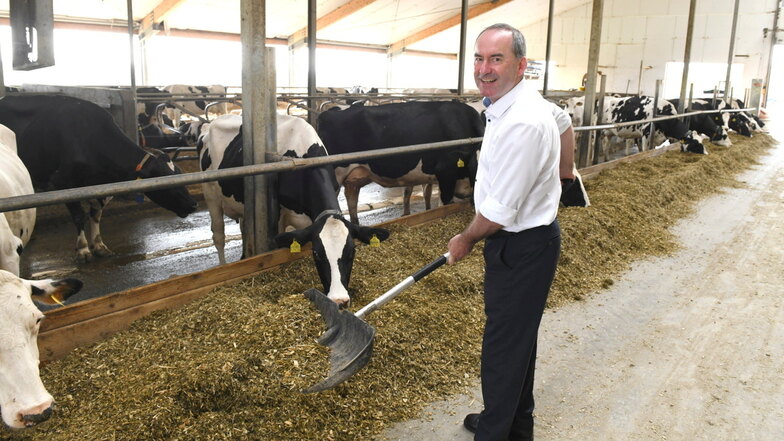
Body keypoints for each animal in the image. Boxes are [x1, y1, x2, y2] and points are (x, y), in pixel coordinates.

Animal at [0, 95, 198, 262]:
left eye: (179, 174)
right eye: (166, 183)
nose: (193, 204)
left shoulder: (101, 186)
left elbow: (96, 215)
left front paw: (99, 246)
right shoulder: (63, 183)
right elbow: (80, 216)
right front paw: (83, 249)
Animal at [198, 113, 390, 306]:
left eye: (352, 251)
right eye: (317, 254)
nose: (339, 301)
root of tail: (211, 123)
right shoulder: (279, 216)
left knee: (245, 230)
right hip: (210, 194)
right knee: (219, 235)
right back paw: (223, 265)